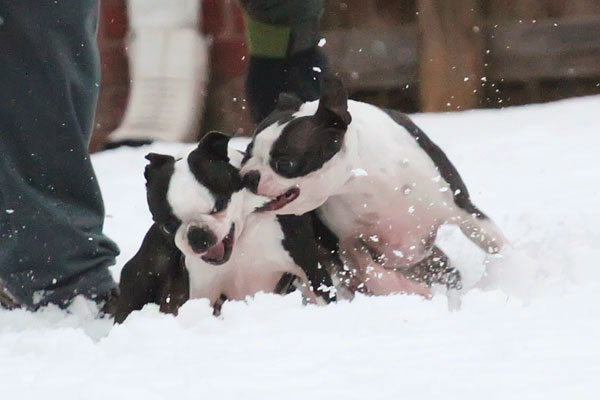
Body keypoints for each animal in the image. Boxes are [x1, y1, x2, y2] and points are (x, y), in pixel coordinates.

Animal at [115, 133, 336, 324]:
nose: (197, 235)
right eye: (168, 226)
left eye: (219, 205)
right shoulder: (203, 288)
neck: (243, 235)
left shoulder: (307, 266)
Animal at [240, 74, 506, 296]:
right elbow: (371, 272)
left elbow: (494, 242)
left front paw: (513, 270)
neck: (364, 180)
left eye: (284, 163)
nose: (248, 175)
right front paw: (408, 289)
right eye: (246, 154)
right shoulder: (348, 242)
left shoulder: (461, 208)